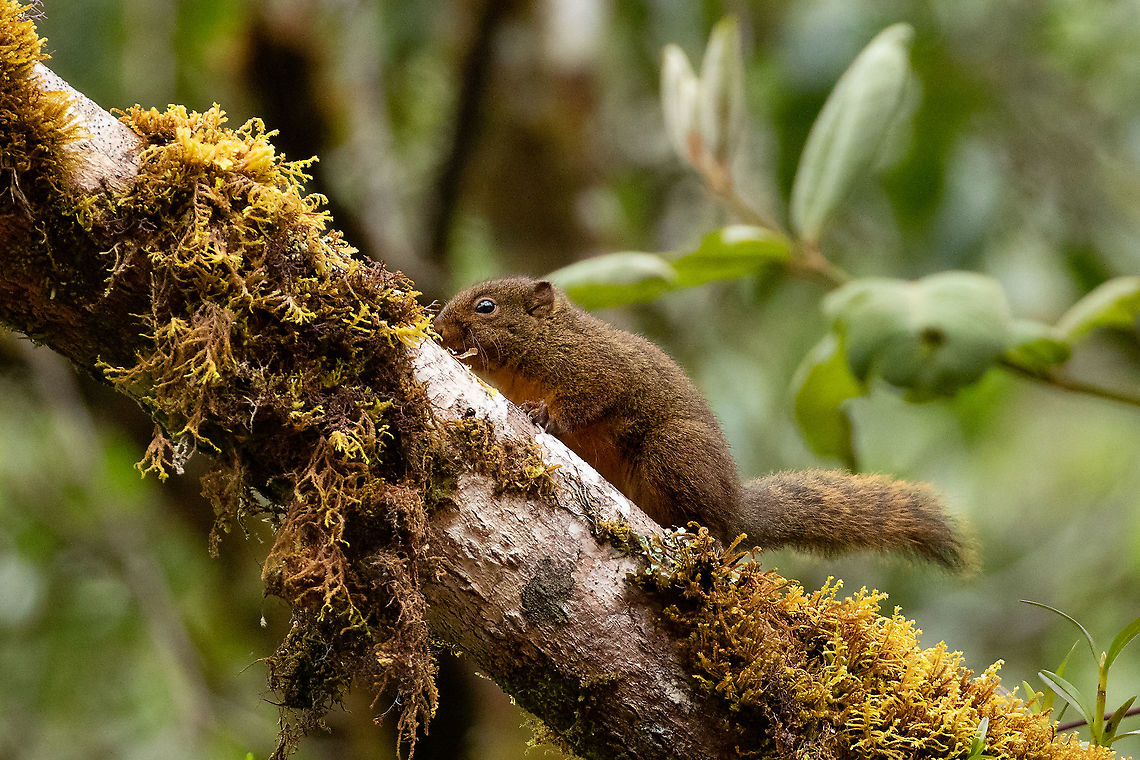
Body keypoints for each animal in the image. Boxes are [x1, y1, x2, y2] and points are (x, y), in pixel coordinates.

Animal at [434, 276, 971, 570]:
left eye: (486, 307)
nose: (439, 327)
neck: (542, 346)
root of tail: (734, 510)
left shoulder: (598, 369)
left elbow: (589, 401)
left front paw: (542, 414)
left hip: (675, 453)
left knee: (704, 521)